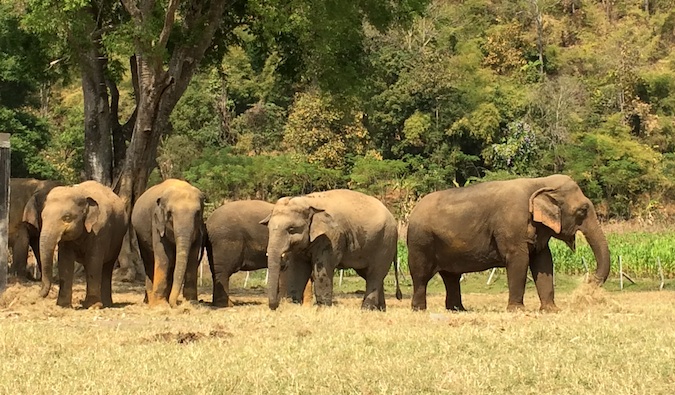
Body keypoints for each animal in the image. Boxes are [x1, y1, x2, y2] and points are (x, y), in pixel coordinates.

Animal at [131, 179, 205, 310]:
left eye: (197, 213)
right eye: (170, 213)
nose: (176, 304)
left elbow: (192, 258)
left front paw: (191, 303)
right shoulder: (156, 223)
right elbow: (164, 258)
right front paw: (160, 305)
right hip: (140, 235)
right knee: (149, 262)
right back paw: (149, 302)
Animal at [262, 189, 402, 312]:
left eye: (291, 229)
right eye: (268, 228)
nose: (275, 307)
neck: (308, 200)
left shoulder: (330, 236)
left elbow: (322, 268)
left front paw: (323, 309)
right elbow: (297, 268)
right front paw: (293, 306)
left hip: (385, 243)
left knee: (375, 273)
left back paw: (366, 309)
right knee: (370, 274)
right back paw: (380, 310)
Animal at [406, 175, 612, 314]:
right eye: (582, 211)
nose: (587, 284)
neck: (539, 183)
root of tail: (413, 211)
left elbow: (544, 262)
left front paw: (552, 310)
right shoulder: (512, 226)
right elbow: (519, 261)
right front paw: (517, 310)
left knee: (451, 277)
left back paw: (458, 310)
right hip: (420, 242)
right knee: (421, 276)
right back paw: (420, 309)